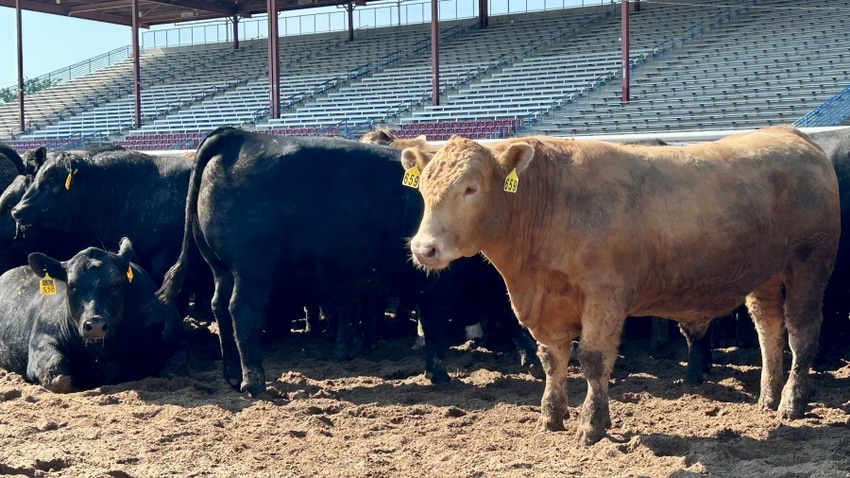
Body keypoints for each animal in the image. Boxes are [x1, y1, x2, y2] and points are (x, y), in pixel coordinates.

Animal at [404, 126, 840, 444]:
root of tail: (790, 133)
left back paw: (791, 402)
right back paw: (768, 396)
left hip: (809, 264)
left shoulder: (604, 295)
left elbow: (593, 359)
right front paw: (551, 415)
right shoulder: (550, 305)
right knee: (769, 329)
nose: (424, 248)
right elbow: (552, 359)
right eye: (423, 188)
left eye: (471, 188)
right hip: (765, 275)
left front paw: (591, 425)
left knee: (802, 332)